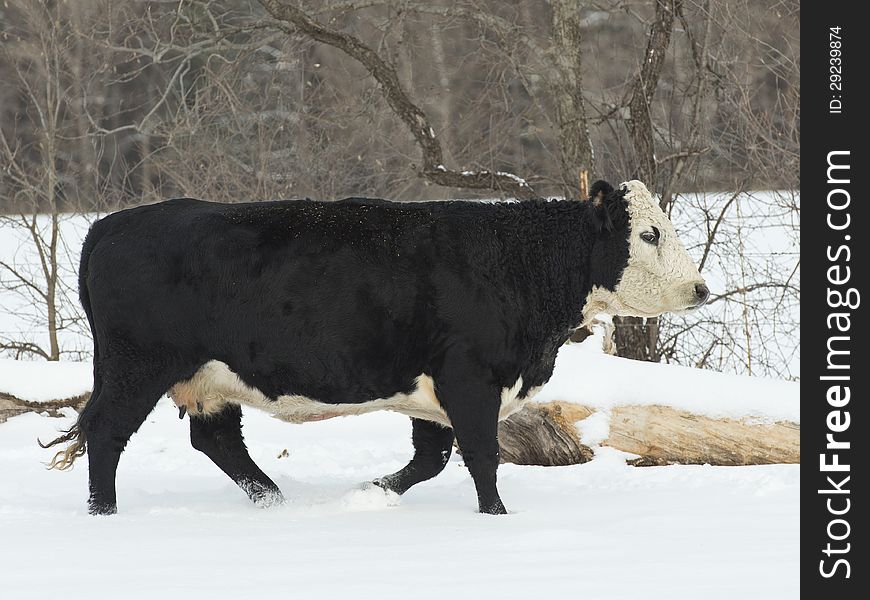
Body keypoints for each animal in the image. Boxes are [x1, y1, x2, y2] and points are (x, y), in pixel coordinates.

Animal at [39, 179, 708, 516]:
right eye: (650, 233)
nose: (701, 288)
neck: (514, 261)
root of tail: (113, 222)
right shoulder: (469, 377)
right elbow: (482, 456)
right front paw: (496, 518)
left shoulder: (433, 390)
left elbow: (431, 458)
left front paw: (372, 494)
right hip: (136, 368)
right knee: (106, 433)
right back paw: (103, 514)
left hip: (206, 379)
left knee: (218, 441)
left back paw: (276, 504)